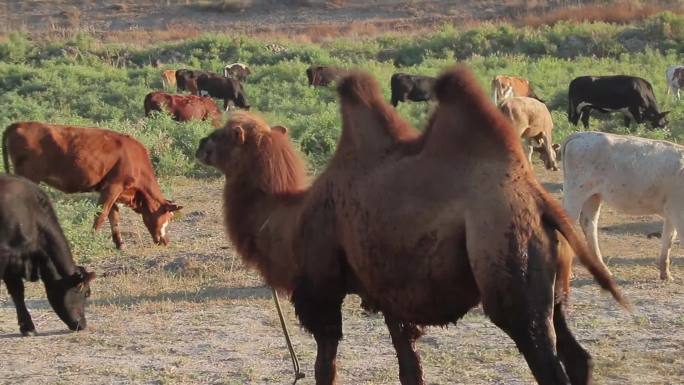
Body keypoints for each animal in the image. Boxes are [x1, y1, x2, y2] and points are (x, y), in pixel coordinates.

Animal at [2, 122, 183, 249]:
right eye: (169, 217)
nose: (165, 241)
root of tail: (18, 124)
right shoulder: (113, 186)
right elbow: (101, 214)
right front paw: (92, 238)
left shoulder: (111, 189)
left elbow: (114, 216)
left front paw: (120, 244)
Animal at [195, 69, 628, 384]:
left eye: (223, 135)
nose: (200, 145)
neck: (292, 216)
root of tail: (539, 200)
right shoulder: (391, 293)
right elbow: (409, 369)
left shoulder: (323, 290)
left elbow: (325, 367)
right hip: (554, 284)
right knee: (577, 354)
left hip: (506, 262)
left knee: (543, 356)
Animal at [564, 131, 684, 280]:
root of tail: (580, 134)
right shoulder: (678, 212)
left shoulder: (671, 212)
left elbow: (668, 239)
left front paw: (665, 275)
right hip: (575, 192)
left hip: (594, 196)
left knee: (589, 224)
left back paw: (604, 270)